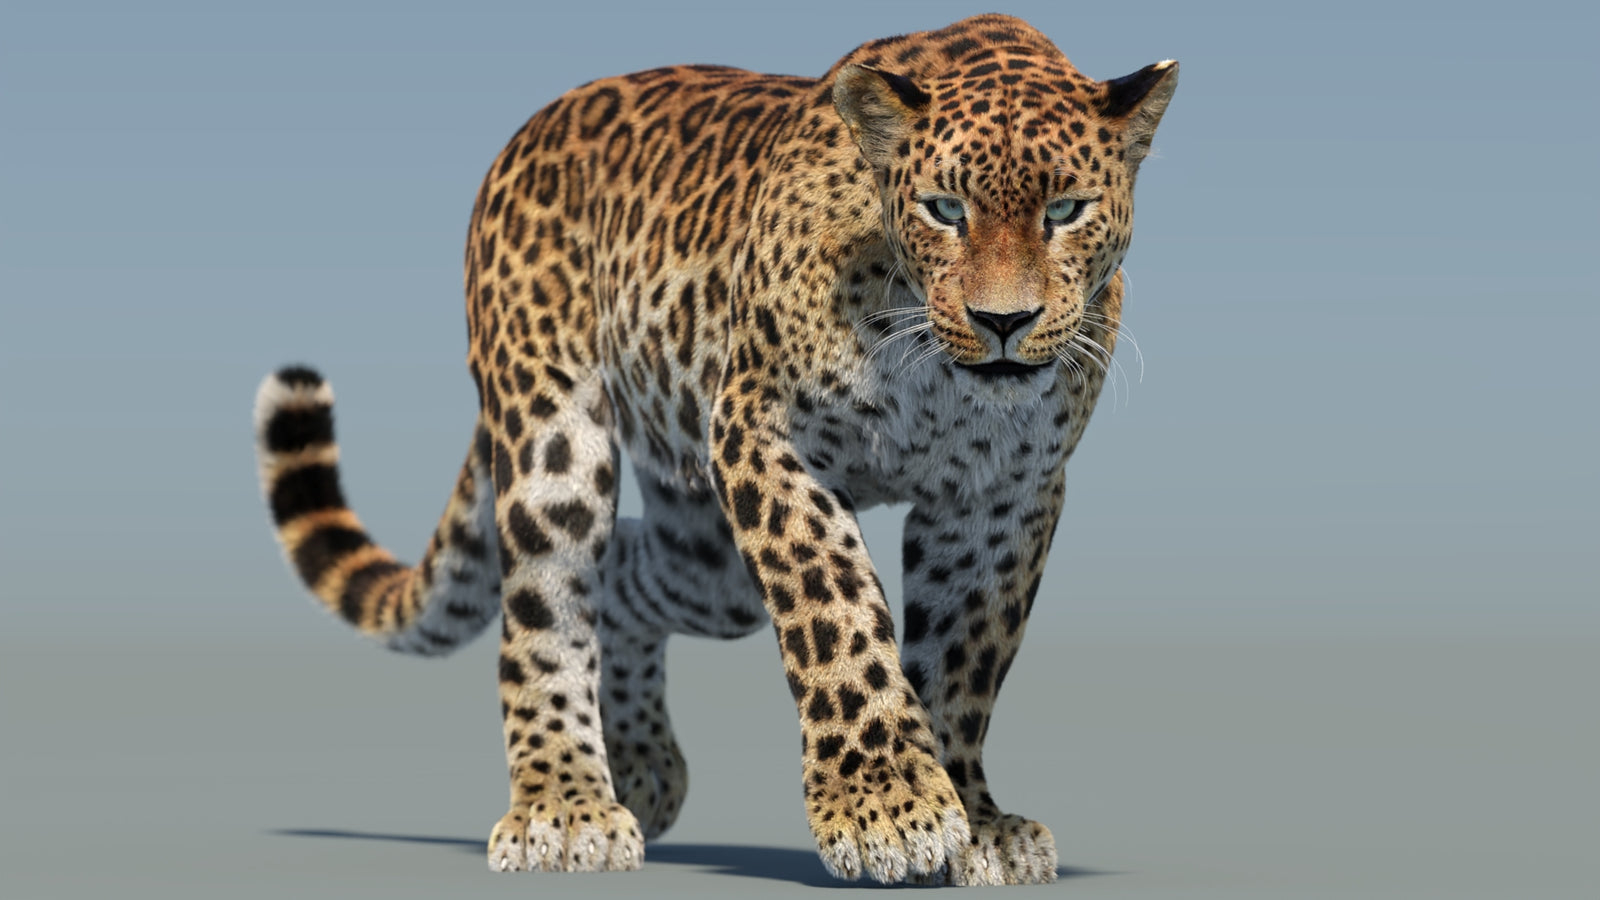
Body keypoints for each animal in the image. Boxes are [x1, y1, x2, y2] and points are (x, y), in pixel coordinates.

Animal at [252, 13, 1175, 885]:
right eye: (945, 209)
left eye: (1066, 211)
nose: (1003, 322)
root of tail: (532, 129)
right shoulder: (761, 434)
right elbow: (836, 607)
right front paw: (884, 808)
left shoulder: (1002, 496)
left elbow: (962, 658)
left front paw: (974, 823)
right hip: (556, 437)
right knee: (546, 612)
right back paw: (566, 806)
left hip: (709, 557)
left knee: (623, 577)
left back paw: (640, 766)